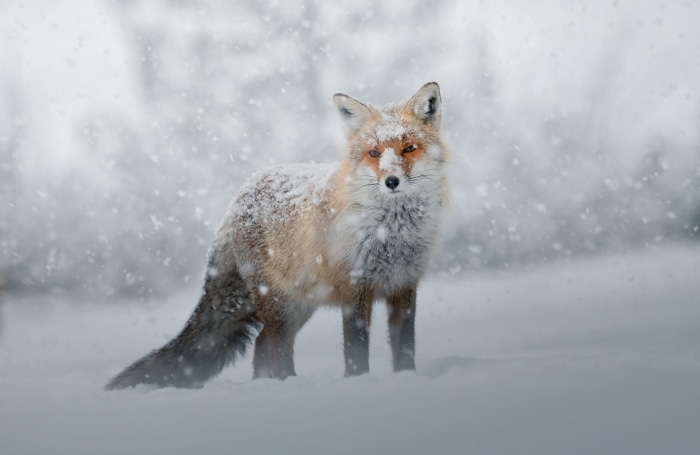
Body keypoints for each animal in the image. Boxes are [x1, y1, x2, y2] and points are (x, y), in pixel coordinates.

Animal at [105, 82, 450, 389]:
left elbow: (405, 349)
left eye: (409, 148)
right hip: (280, 305)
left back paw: (264, 385)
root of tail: (238, 198)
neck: (390, 233)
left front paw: (406, 379)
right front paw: (357, 383)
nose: (391, 181)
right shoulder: (354, 288)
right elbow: (356, 352)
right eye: (374, 153)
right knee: (276, 348)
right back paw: (288, 385)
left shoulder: (404, 285)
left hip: (300, 306)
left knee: (261, 344)